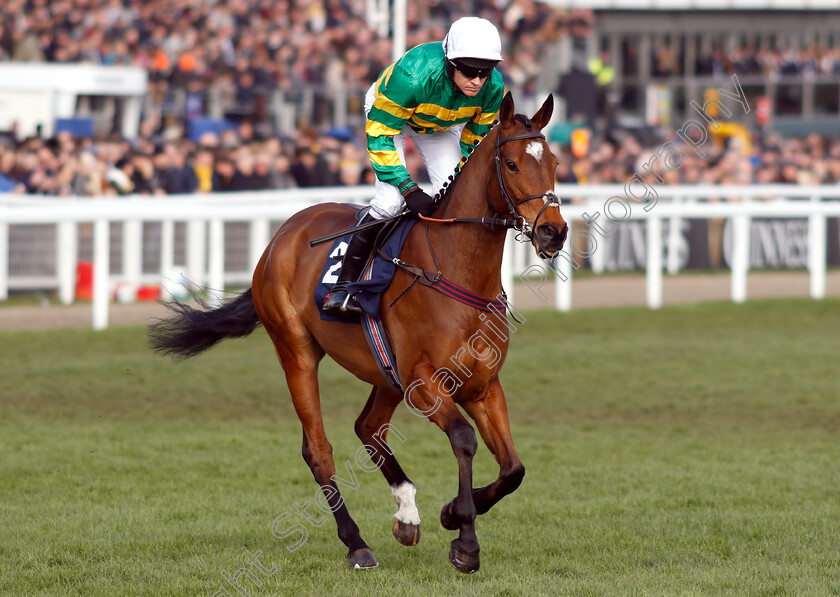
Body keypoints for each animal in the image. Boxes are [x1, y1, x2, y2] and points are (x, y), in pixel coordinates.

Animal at [149, 92, 572, 572]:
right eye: (514, 164)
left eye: (554, 162)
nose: (554, 231)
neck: (458, 271)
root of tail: (283, 233)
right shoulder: (425, 383)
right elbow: (464, 440)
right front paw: (465, 540)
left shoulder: (483, 385)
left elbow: (514, 469)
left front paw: (450, 513)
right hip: (295, 350)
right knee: (319, 448)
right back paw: (355, 542)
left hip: (383, 371)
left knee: (368, 427)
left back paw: (406, 514)